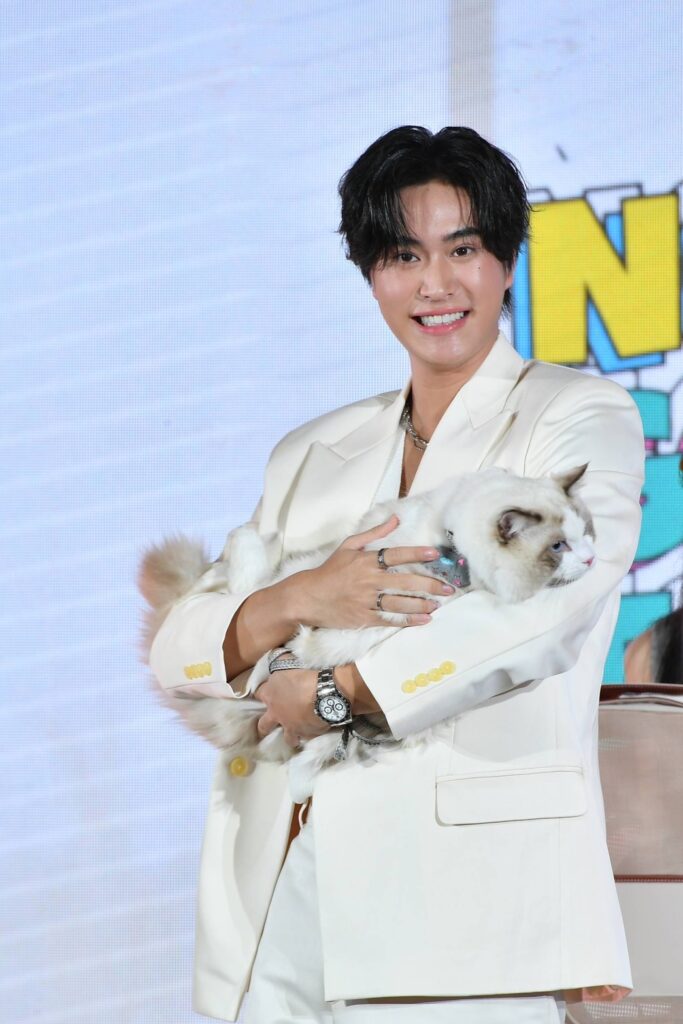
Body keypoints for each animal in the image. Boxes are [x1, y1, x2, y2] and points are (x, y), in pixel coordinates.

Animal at [139, 464, 595, 793]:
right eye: (559, 547)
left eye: (588, 533)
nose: (592, 559)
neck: (451, 549)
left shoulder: (410, 614)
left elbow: (341, 643)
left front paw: (308, 647)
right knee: (244, 590)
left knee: (304, 756)